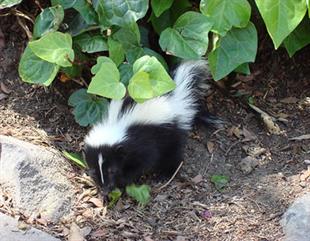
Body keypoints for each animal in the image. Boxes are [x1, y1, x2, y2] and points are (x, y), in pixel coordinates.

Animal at [83, 60, 217, 192]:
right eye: (93, 171)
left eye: (112, 170)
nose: (105, 189)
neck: (116, 123)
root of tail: (175, 100)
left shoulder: (142, 142)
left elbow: (144, 162)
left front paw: (123, 180)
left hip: (171, 133)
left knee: (173, 154)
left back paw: (167, 174)